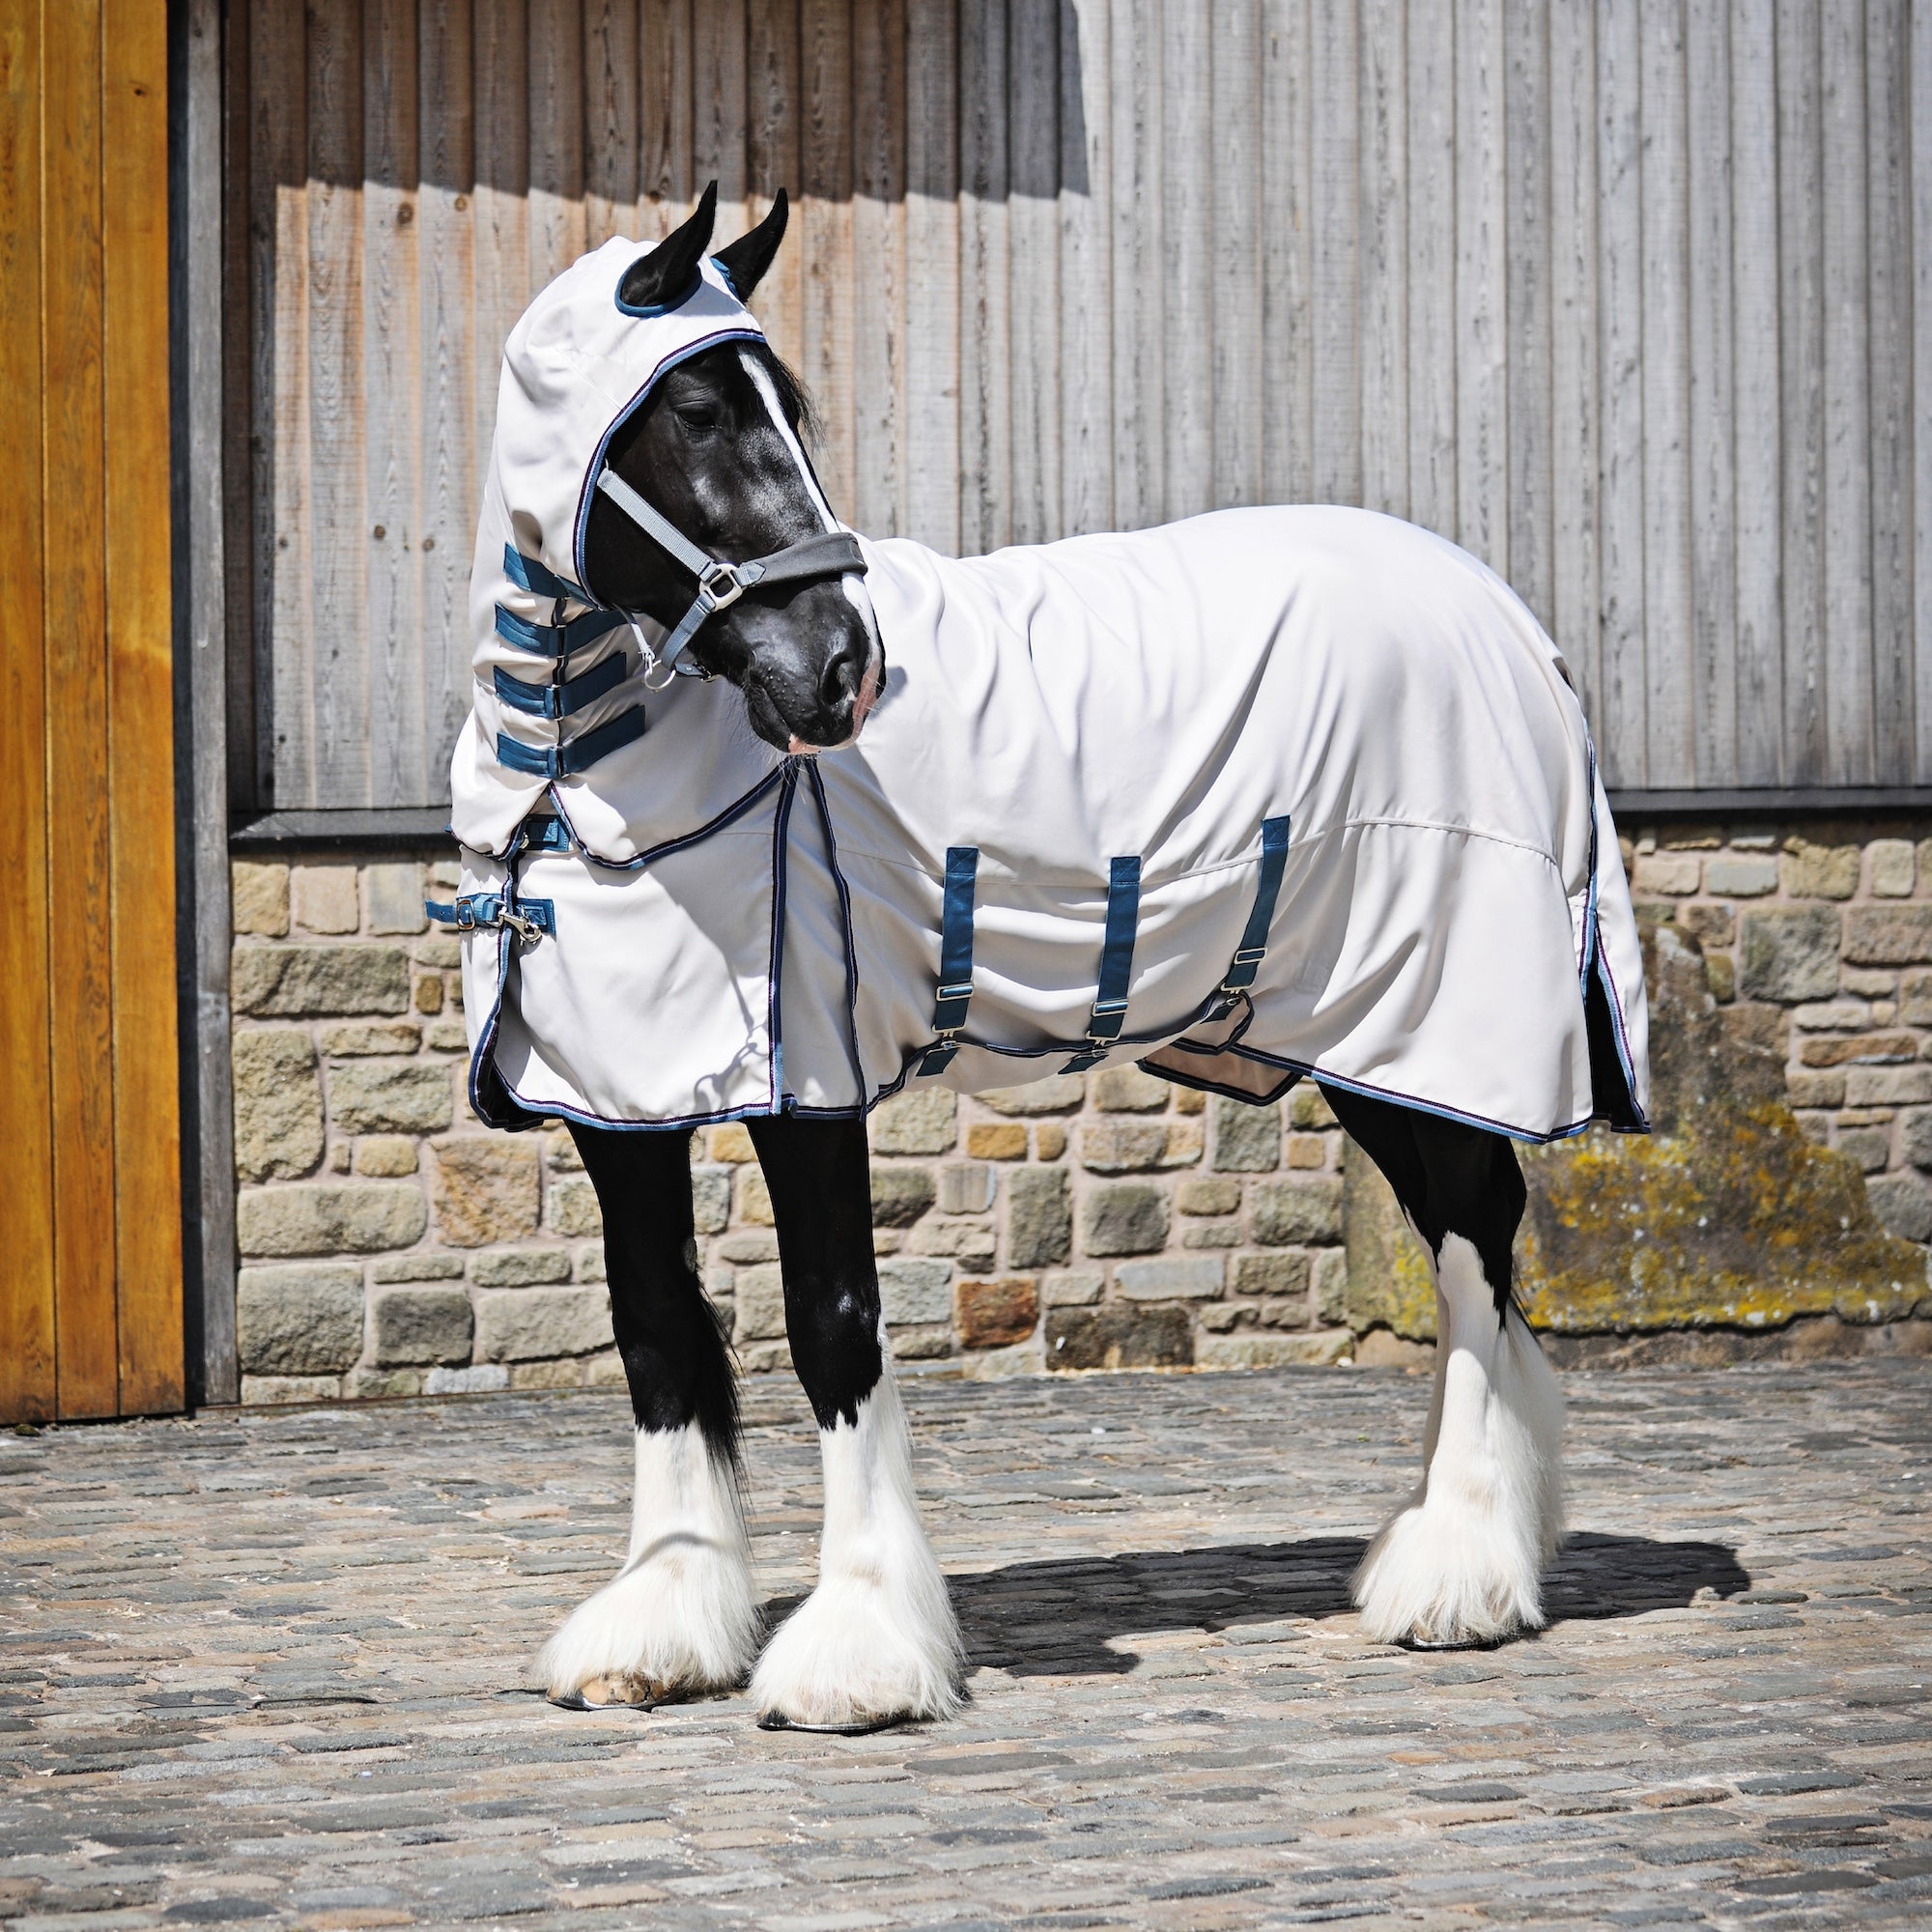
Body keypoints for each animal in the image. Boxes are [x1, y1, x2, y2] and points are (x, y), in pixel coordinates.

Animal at [436, 184, 1649, 1732]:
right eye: (699, 411)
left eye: (788, 410)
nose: (845, 670)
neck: (589, 786)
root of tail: (1511, 627)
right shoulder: (618, 1102)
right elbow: (658, 1327)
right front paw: (661, 1624)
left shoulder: (808, 1085)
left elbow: (832, 1323)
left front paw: (858, 1650)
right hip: (1360, 1041)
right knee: (1467, 1240)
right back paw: (1468, 1541)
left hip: (1430, 1025)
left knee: (1472, 1246)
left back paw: (1463, 1574)